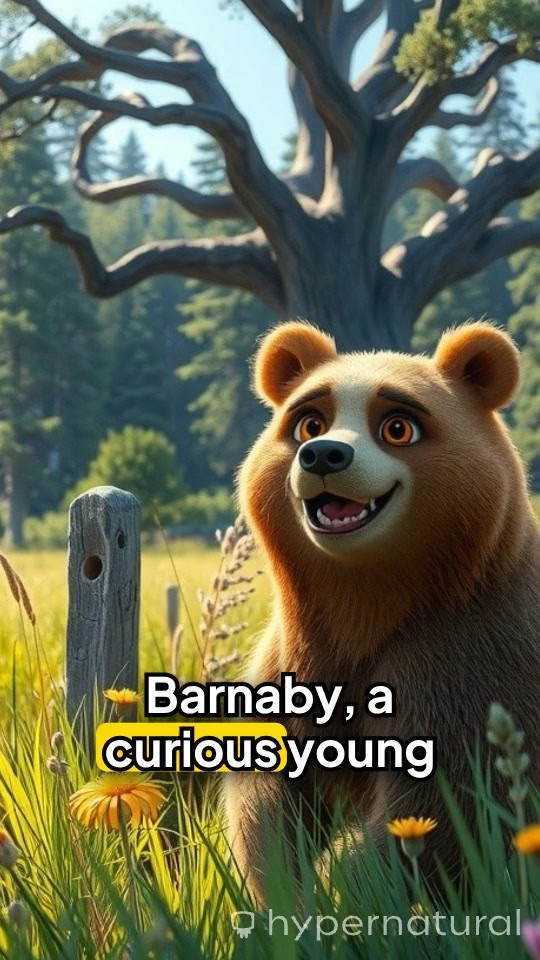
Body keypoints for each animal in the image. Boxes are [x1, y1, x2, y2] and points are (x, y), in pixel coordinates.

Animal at [225, 320, 540, 904]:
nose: (324, 456)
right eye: (309, 422)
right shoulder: (303, 654)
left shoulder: (469, 651)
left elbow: (445, 803)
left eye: (397, 427)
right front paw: (286, 888)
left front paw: (340, 887)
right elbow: (268, 787)